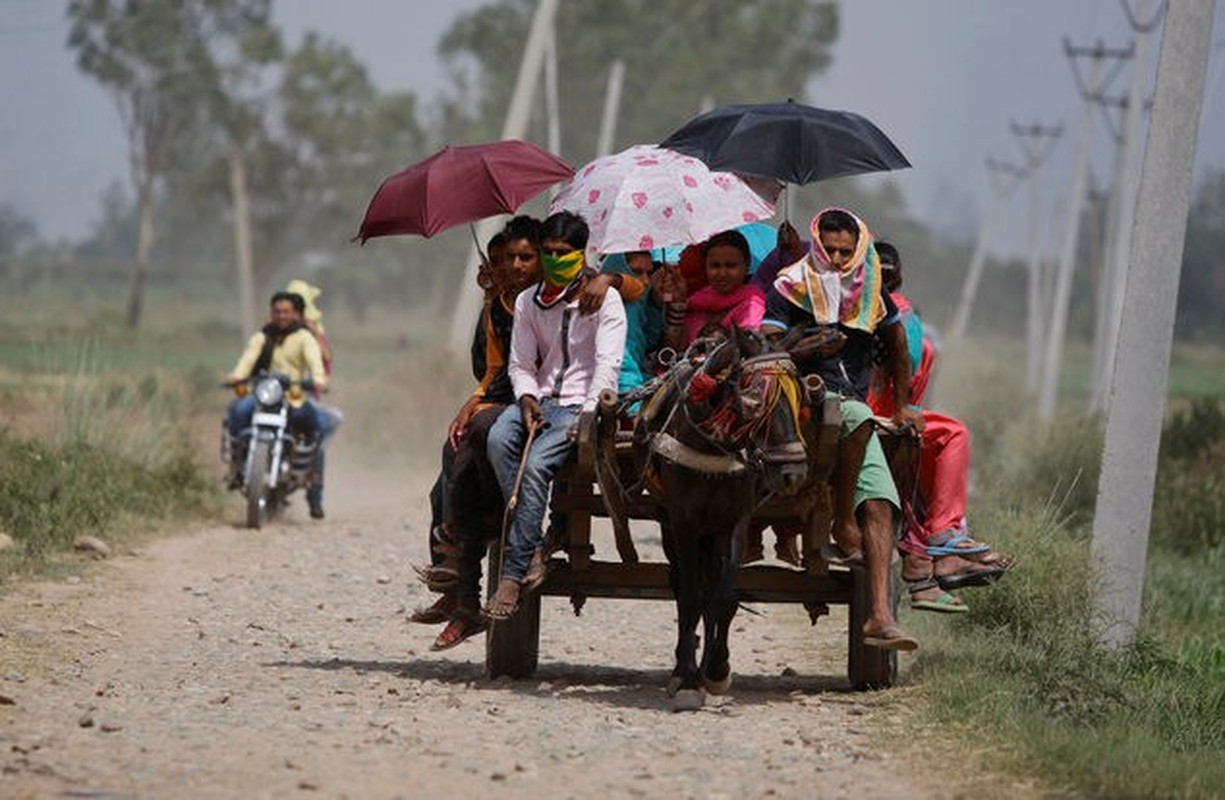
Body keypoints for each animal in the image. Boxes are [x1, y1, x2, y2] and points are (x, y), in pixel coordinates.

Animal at [637, 323, 808, 710]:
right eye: (756, 400)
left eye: (800, 398)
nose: (793, 474)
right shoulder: (683, 521)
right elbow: (688, 596)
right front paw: (687, 679)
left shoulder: (735, 521)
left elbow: (724, 596)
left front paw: (716, 670)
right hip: (673, 527)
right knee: (686, 587)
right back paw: (683, 669)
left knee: (710, 587)